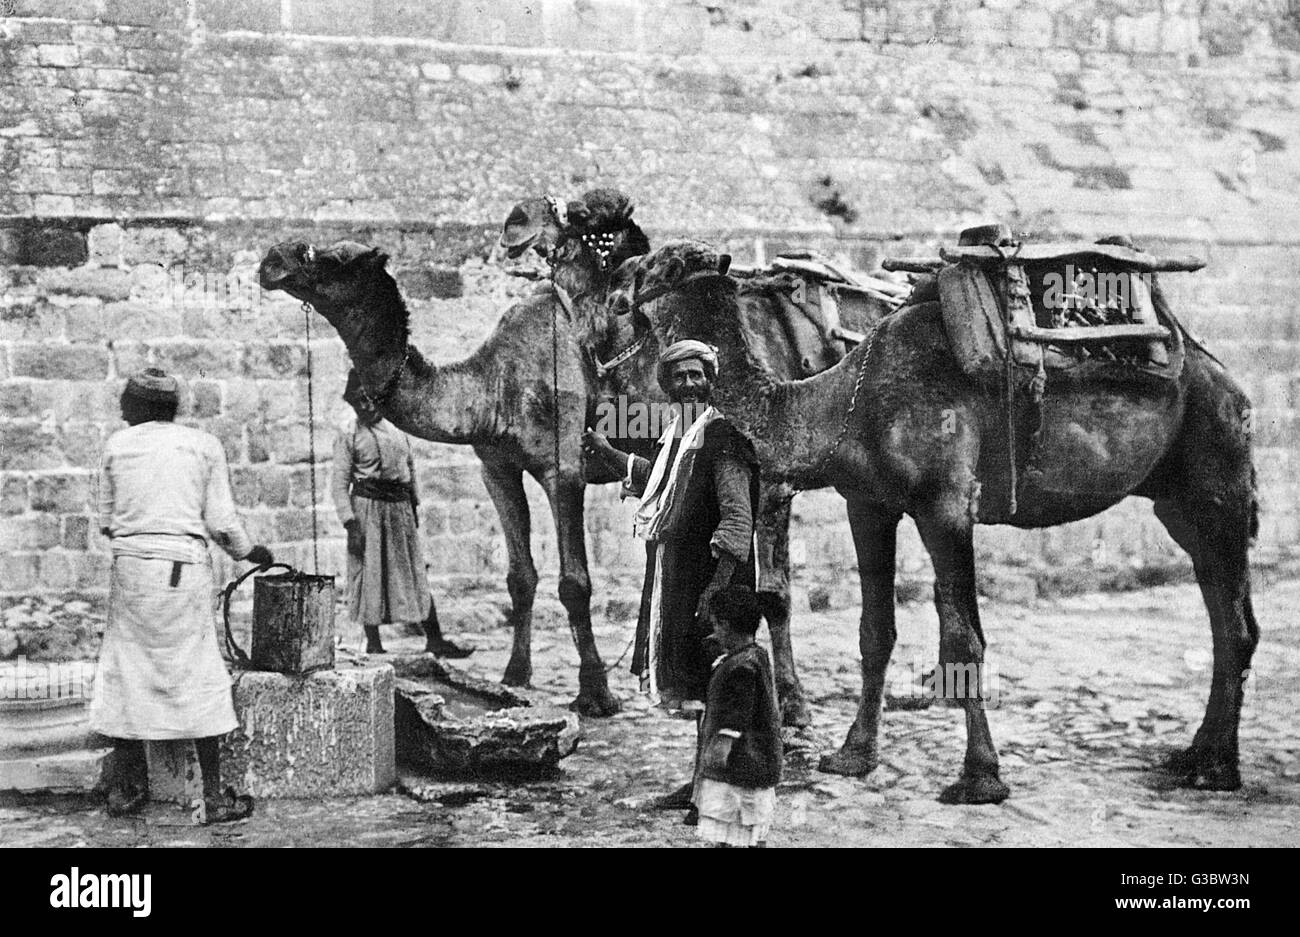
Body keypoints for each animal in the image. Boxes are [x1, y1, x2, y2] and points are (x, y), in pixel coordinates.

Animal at [626, 237, 1258, 800]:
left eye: (656, 265)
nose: (621, 281)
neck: (841, 399)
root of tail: (1225, 375)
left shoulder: (946, 505)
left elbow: (963, 638)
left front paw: (980, 777)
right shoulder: (869, 503)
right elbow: (875, 630)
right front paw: (854, 755)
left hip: (1217, 469)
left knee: (1235, 621)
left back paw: (1216, 768)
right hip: (1177, 499)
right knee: (1226, 612)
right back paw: (1196, 756)